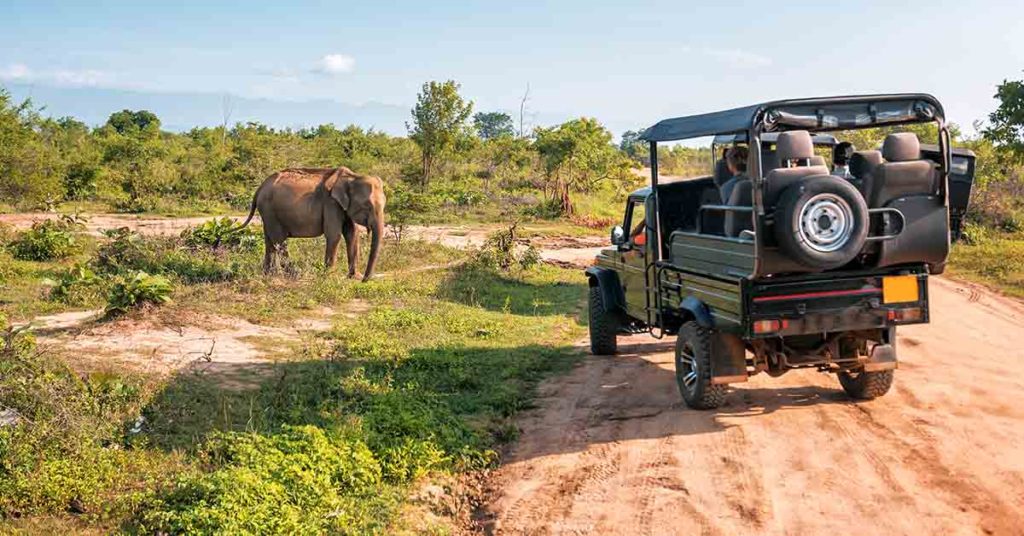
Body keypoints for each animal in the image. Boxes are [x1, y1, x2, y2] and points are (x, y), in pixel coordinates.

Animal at [237, 166, 386, 281]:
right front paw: (330, 277)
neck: (352, 177)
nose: (365, 280)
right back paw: (294, 274)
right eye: (367, 206)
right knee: (279, 240)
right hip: (270, 210)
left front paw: (354, 277)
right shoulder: (330, 203)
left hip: (268, 214)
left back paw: (268, 275)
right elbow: (334, 235)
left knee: (269, 241)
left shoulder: (343, 207)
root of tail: (260, 188)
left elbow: (352, 234)